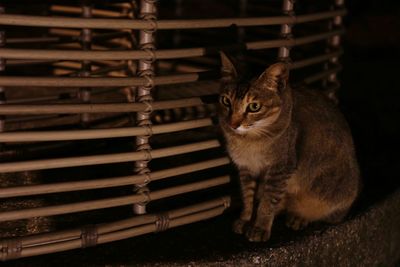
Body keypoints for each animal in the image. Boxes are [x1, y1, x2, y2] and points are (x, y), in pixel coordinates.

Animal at [217, 52, 360, 243]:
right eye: (226, 101)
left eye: (254, 106)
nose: (233, 124)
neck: (249, 141)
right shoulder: (246, 168)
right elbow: (247, 197)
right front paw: (245, 219)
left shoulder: (281, 169)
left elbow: (268, 202)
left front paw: (260, 227)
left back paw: (299, 218)